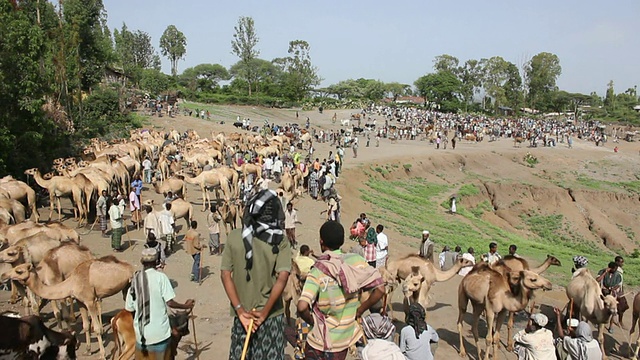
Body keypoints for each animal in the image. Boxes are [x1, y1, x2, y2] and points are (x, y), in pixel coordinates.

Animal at [2, 258, 134, 358]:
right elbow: (86, 326)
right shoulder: (80, 301)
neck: (72, 283)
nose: (3, 274)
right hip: (126, 287)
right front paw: (88, 350)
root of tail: (131, 267)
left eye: (19, 271)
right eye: (16, 267)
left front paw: (102, 354)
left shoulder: (89, 300)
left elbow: (96, 329)